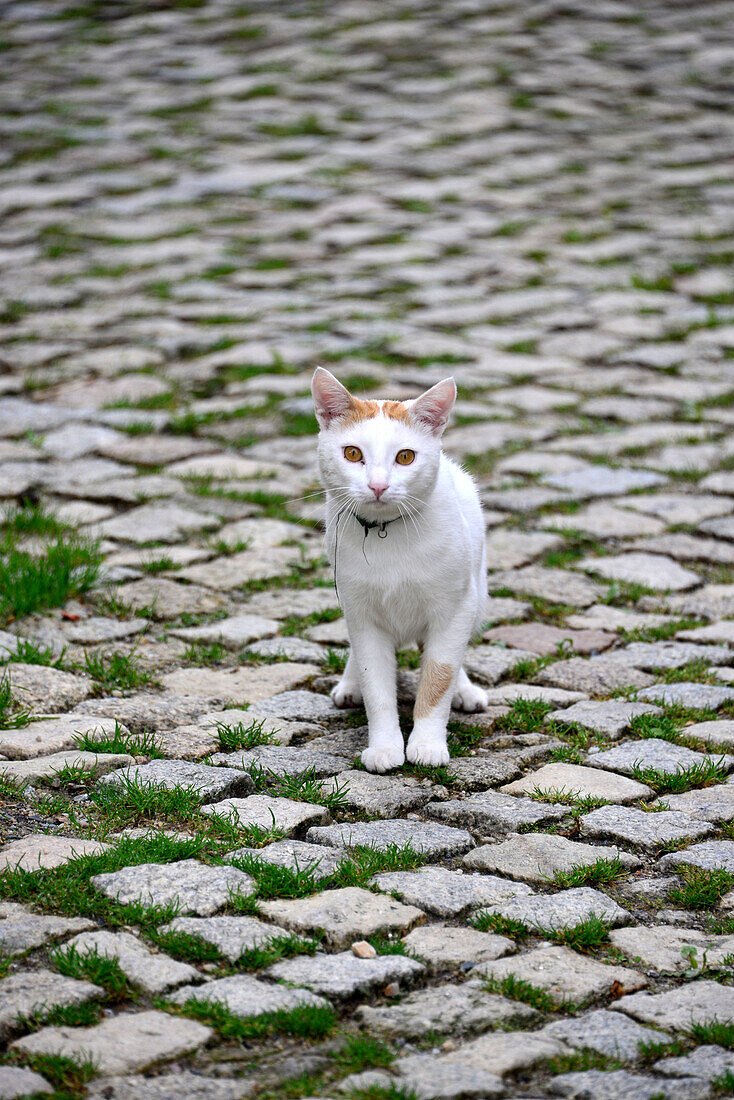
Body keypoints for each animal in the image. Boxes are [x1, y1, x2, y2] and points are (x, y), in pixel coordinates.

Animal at [310, 365, 488, 770]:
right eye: (352, 453)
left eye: (405, 457)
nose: (378, 485)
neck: (386, 533)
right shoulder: (361, 614)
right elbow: (376, 684)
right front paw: (385, 747)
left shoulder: (455, 608)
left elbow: (439, 676)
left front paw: (427, 744)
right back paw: (349, 684)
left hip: (478, 594)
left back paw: (465, 690)